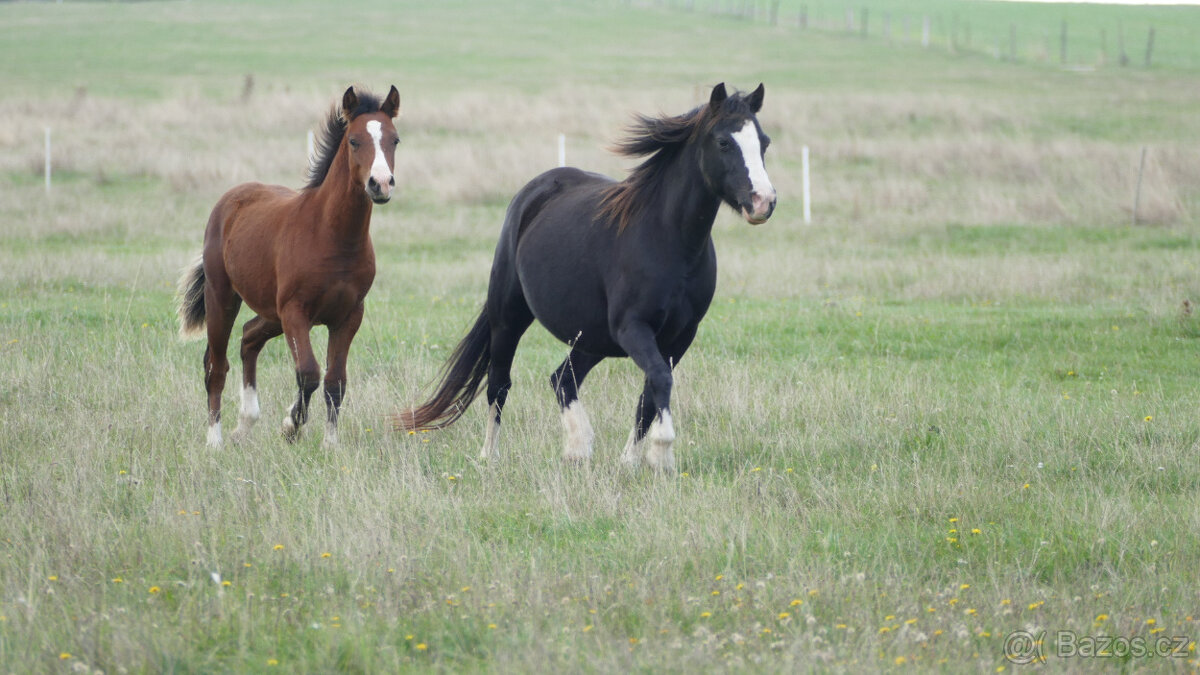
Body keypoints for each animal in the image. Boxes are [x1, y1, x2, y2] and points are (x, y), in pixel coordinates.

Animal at [176, 85, 401, 448]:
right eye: (354, 141)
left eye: (395, 140)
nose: (380, 184)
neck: (333, 237)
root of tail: (230, 200)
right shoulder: (296, 312)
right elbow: (308, 372)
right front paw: (291, 425)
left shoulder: (348, 316)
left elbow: (335, 381)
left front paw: (329, 444)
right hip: (223, 297)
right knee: (216, 365)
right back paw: (215, 440)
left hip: (272, 312)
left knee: (249, 338)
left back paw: (245, 423)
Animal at [397, 83, 775, 472]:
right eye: (724, 142)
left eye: (764, 142)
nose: (764, 202)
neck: (668, 240)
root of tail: (535, 190)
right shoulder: (633, 327)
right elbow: (659, 379)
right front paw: (661, 451)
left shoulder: (681, 336)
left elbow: (649, 395)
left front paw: (631, 461)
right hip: (509, 316)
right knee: (499, 383)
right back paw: (491, 456)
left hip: (592, 337)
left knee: (563, 378)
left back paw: (577, 448)